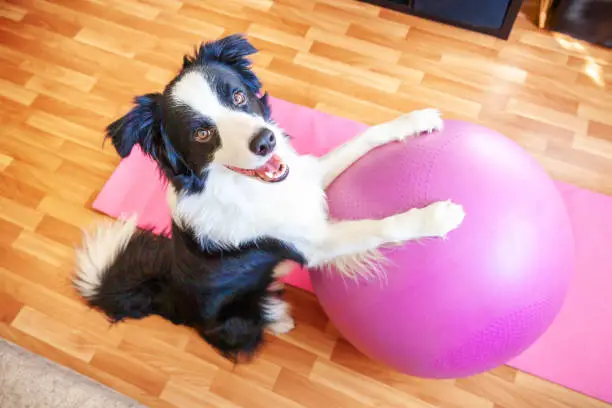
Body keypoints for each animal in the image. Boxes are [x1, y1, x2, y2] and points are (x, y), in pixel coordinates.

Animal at [73, 34, 464, 360]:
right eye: (202, 133)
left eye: (237, 96)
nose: (266, 141)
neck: (250, 188)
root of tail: (169, 297)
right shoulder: (315, 242)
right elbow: (379, 227)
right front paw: (436, 217)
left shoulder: (307, 177)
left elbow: (363, 138)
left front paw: (415, 120)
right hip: (235, 318)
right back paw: (280, 319)